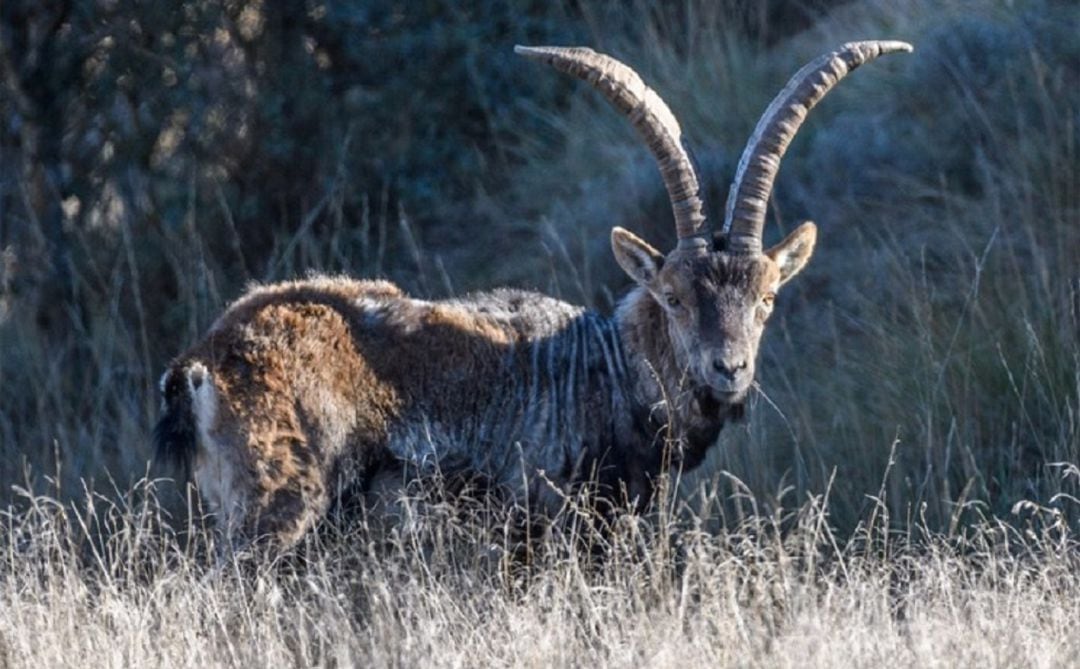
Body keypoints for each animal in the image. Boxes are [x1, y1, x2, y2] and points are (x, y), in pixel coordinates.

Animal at [154, 40, 911, 549]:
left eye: (766, 298)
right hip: (276, 503)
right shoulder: (550, 519)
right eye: (672, 296)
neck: (605, 372)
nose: (729, 369)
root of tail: (201, 362)